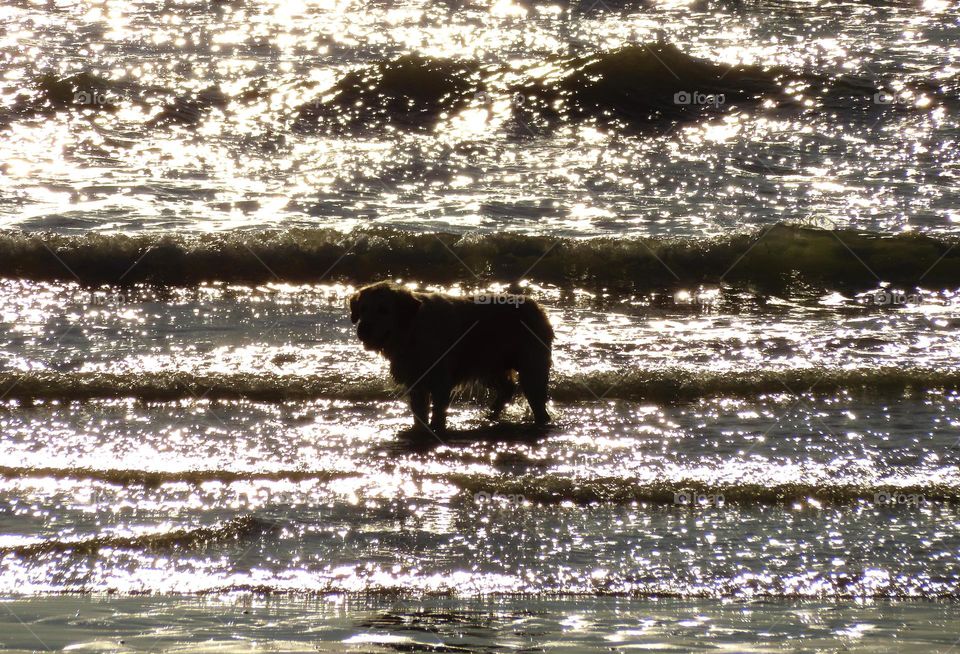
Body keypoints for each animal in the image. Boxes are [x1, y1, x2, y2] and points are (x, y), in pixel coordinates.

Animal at [348, 284, 552, 434]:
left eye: (383, 310)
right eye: (363, 308)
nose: (363, 329)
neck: (411, 330)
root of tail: (537, 306)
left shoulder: (440, 382)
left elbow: (437, 414)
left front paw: (436, 429)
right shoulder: (417, 382)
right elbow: (420, 414)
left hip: (531, 369)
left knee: (537, 404)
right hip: (490, 366)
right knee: (507, 389)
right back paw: (490, 417)